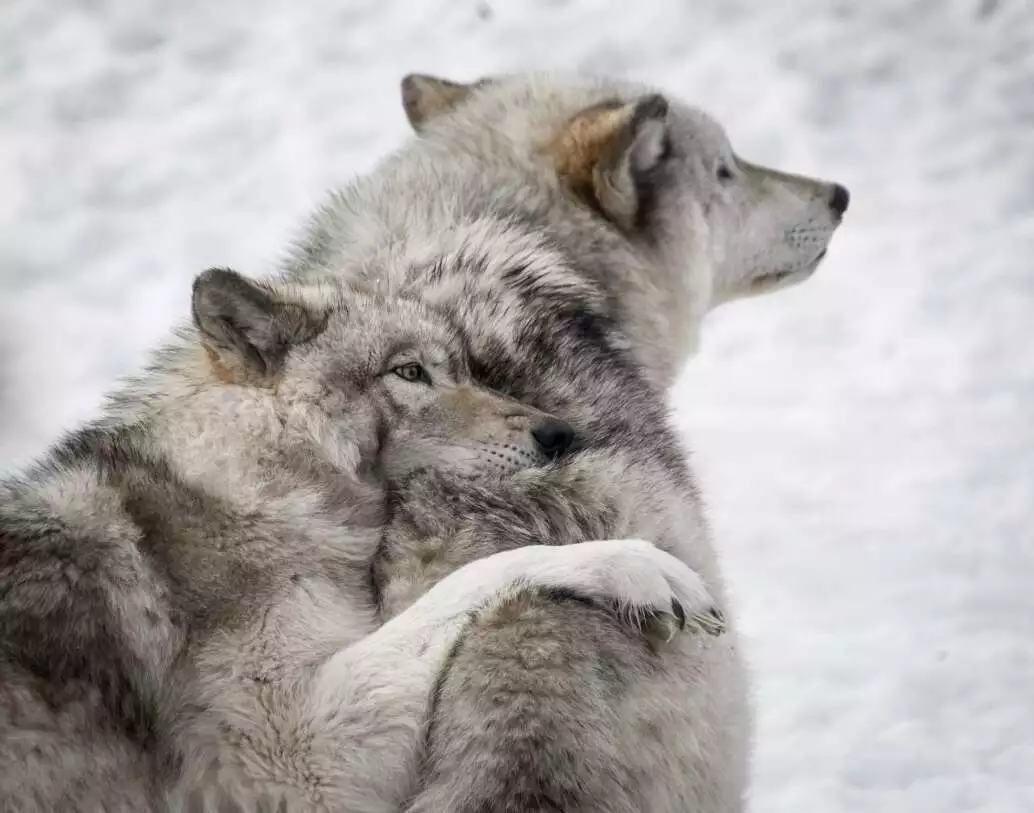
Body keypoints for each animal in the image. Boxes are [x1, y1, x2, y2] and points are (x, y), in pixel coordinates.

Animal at [0, 267, 721, 812]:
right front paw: (637, 565)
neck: (252, 483)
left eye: (463, 367)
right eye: (409, 372)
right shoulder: (297, 760)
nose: (559, 434)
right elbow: (487, 570)